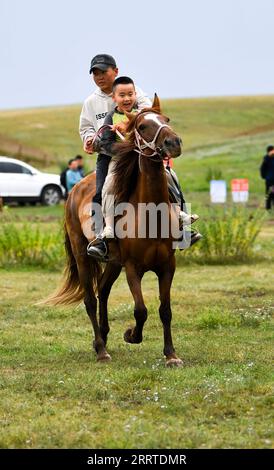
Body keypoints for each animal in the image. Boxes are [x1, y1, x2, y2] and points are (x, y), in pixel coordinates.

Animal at [43, 95, 182, 368]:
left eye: (166, 119)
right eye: (142, 126)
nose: (173, 142)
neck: (150, 214)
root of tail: (74, 190)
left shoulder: (166, 266)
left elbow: (165, 310)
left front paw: (171, 355)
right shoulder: (133, 268)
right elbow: (141, 310)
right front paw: (131, 335)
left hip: (114, 263)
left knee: (103, 292)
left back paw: (104, 338)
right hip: (83, 256)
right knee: (90, 299)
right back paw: (100, 349)